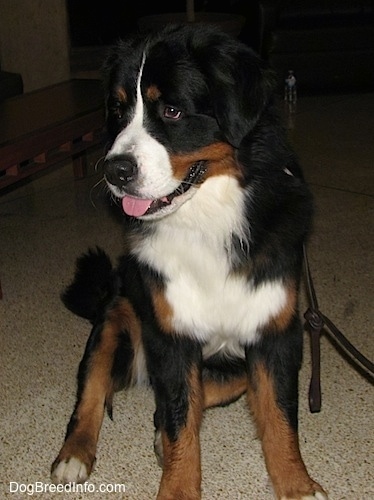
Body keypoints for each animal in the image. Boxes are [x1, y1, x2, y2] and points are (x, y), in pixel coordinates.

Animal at [50, 24, 328, 500]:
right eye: (117, 111)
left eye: (173, 110)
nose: (114, 170)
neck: (207, 220)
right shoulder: (171, 335)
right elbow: (182, 423)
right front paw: (178, 486)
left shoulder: (275, 331)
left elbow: (277, 418)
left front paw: (297, 484)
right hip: (115, 316)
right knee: (92, 389)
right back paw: (74, 454)